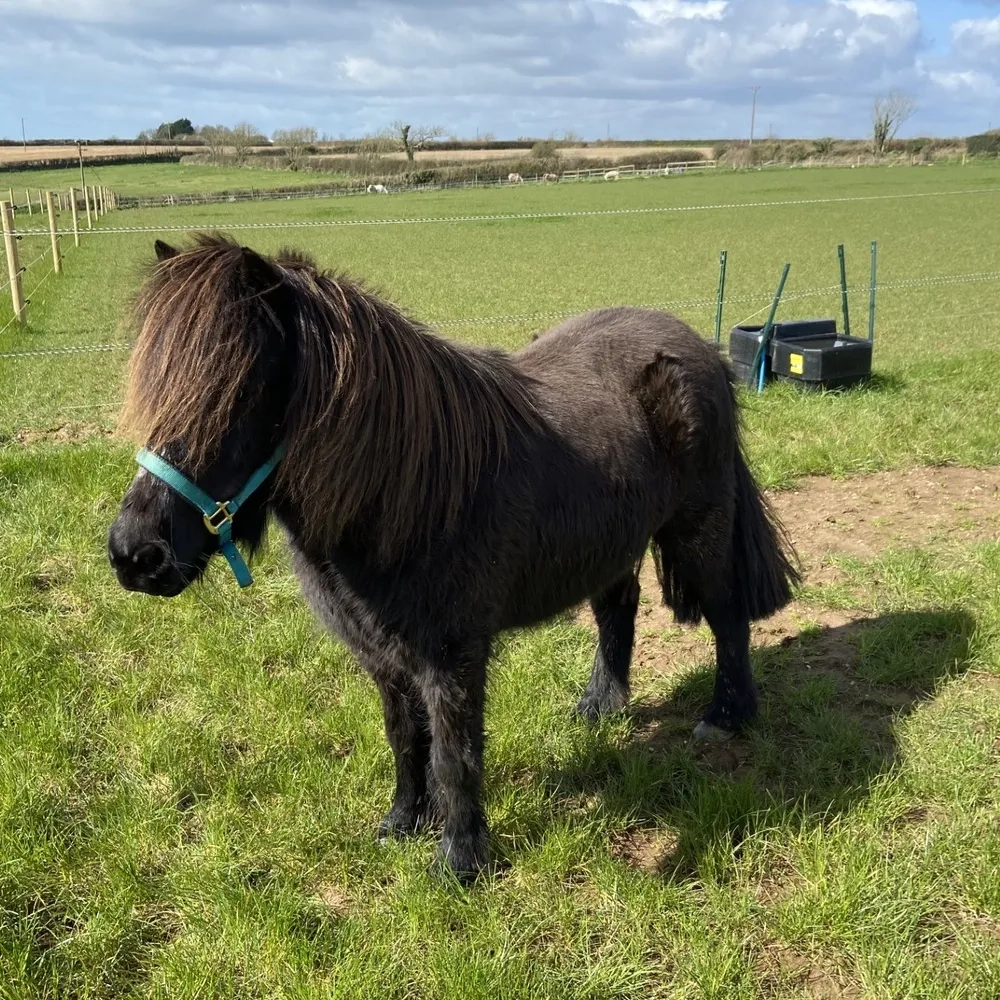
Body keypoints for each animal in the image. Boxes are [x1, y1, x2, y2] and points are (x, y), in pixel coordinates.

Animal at [107, 234, 801, 881]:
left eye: (240, 394)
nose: (134, 554)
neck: (409, 490)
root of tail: (698, 347)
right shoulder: (383, 658)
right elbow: (404, 739)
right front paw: (402, 824)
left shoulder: (452, 656)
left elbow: (453, 752)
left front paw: (460, 861)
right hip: (611, 543)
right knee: (617, 609)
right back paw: (600, 708)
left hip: (699, 528)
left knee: (726, 614)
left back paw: (727, 716)